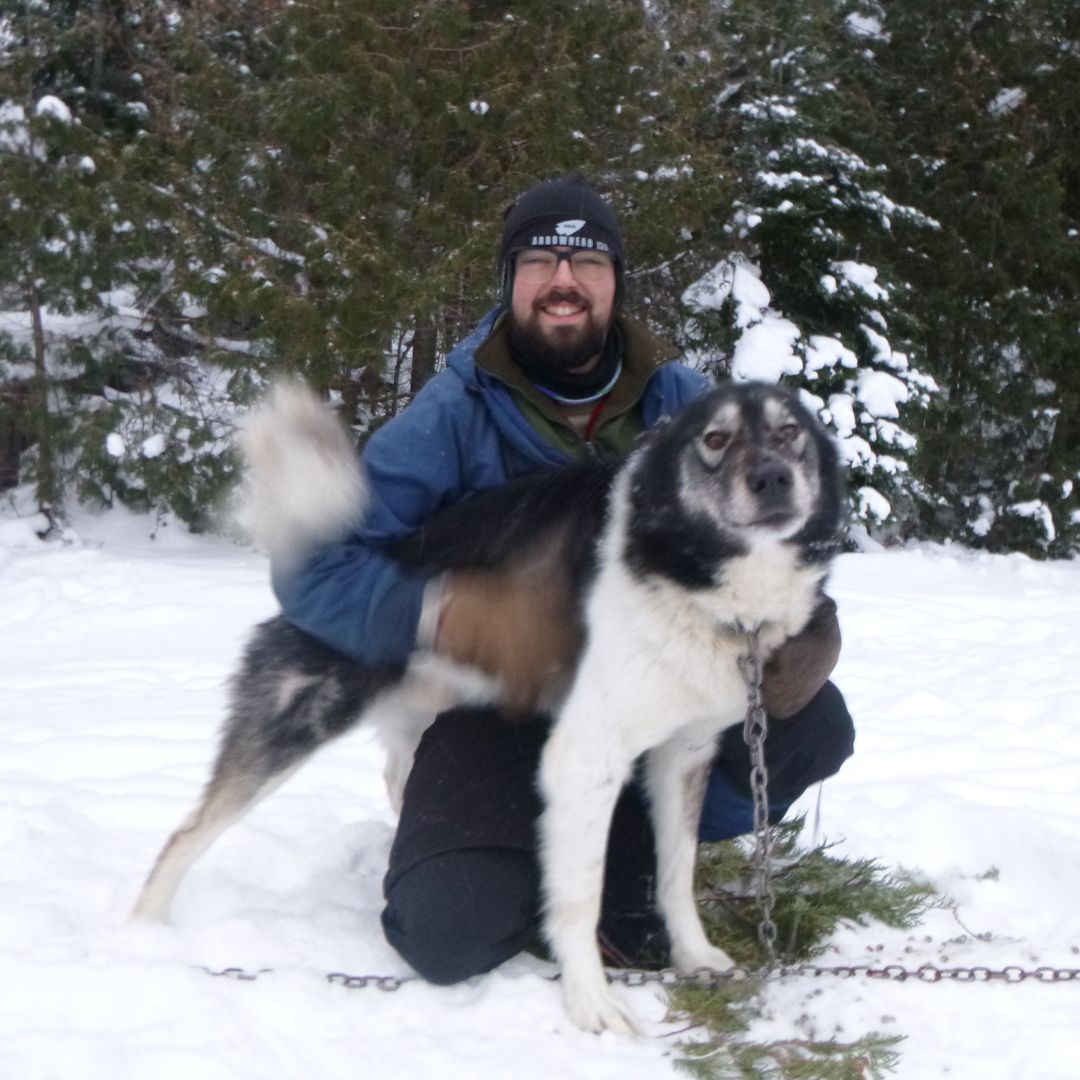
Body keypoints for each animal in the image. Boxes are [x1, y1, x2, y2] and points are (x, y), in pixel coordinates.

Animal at [132, 378, 842, 1036]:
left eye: (789, 433)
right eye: (715, 439)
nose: (773, 477)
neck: (690, 573)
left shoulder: (684, 754)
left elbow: (675, 872)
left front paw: (694, 956)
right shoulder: (586, 758)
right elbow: (578, 895)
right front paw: (590, 1002)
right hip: (291, 726)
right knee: (184, 836)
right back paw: (143, 932)